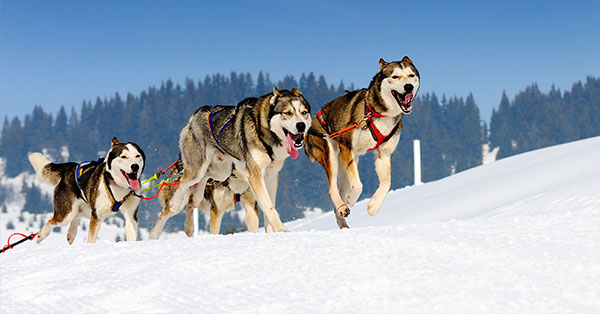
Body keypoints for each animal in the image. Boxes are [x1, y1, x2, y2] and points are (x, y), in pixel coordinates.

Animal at [149, 87, 312, 237]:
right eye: (287, 113)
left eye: (304, 112)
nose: (301, 125)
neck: (263, 131)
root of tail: (195, 116)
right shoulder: (255, 176)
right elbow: (269, 207)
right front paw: (282, 230)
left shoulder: (271, 177)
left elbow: (270, 206)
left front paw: (272, 232)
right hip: (197, 170)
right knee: (181, 186)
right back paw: (161, 222)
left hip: (222, 171)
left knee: (203, 181)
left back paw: (195, 201)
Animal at [308, 57, 420, 228]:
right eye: (395, 76)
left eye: (411, 75)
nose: (409, 87)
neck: (378, 113)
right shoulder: (347, 147)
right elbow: (358, 185)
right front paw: (351, 200)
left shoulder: (384, 155)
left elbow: (387, 183)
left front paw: (374, 205)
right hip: (331, 155)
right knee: (333, 188)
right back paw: (343, 205)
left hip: (346, 165)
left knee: (340, 193)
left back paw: (342, 220)